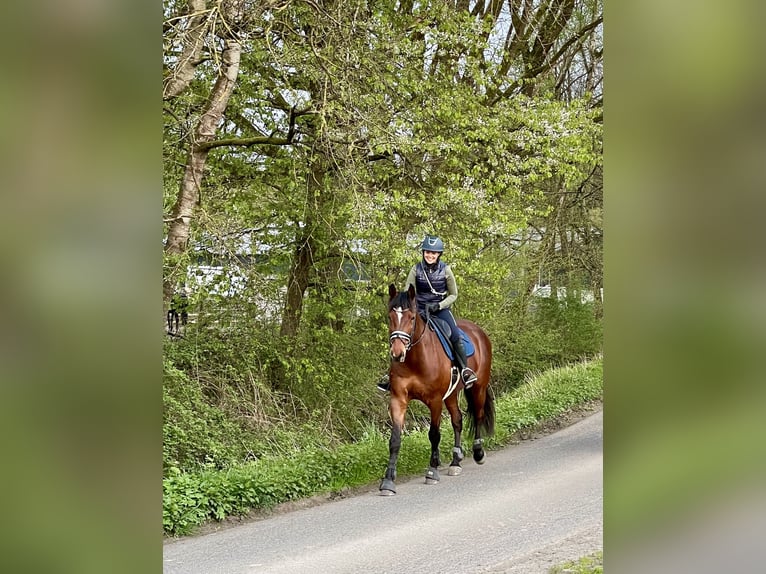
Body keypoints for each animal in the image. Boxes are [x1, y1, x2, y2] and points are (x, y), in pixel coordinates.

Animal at [380, 284, 498, 496]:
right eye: (390, 316)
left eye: (411, 317)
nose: (397, 353)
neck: (415, 360)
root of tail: (478, 331)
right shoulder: (398, 399)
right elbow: (395, 439)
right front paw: (388, 480)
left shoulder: (434, 400)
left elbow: (434, 434)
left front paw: (432, 471)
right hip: (451, 395)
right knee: (457, 420)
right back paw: (455, 462)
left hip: (478, 387)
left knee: (477, 415)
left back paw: (478, 453)